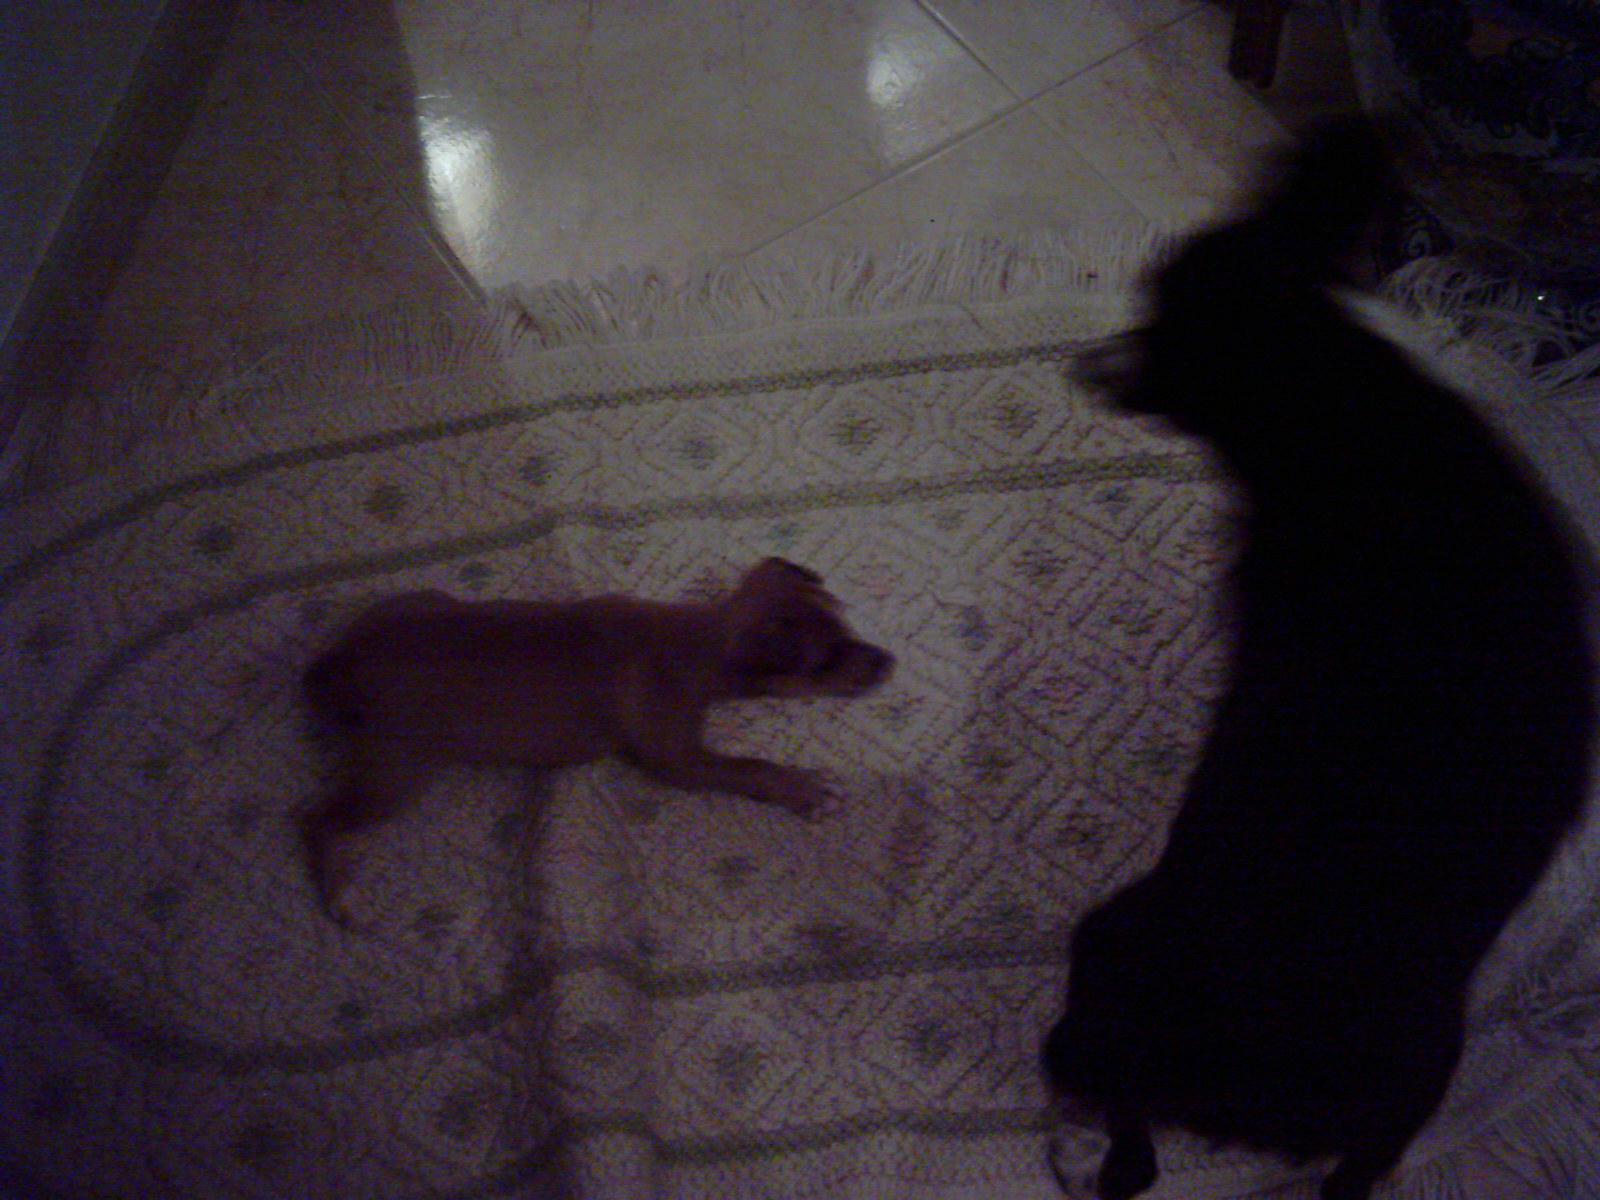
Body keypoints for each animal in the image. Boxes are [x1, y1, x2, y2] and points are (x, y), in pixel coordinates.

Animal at [299, 557, 893, 924]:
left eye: (845, 621)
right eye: (826, 661)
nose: (889, 661)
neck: (696, 641)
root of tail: (338, 661)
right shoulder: (679, 759)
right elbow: (751, 767)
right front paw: (804, 789)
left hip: (421, 602)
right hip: (399, 771)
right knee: (321, 818)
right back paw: (342, 895)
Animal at [1042, 119, 1595, 1200]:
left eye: (1161, 300)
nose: (1089, 362)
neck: (1336, 396)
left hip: (1109, 945)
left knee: (1129, 1111)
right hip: (1411, 1065)